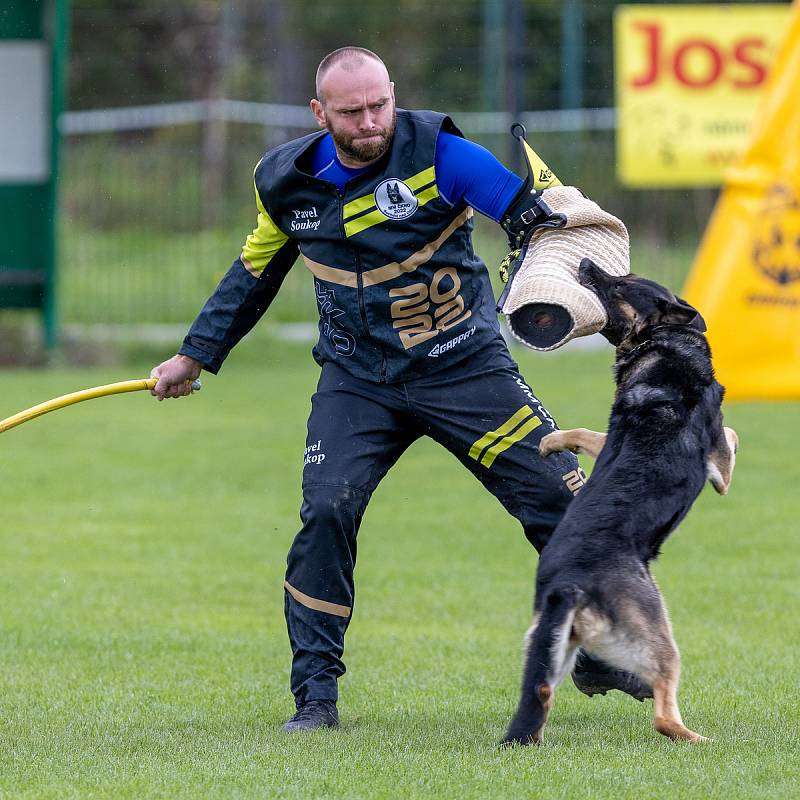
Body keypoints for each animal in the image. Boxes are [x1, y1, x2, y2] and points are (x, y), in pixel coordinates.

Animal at [504, 260, 740, 748]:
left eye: (622, 284)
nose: (585, 264)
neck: (662, 344)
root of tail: (568, 584)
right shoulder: (719, 466)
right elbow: (729, 436)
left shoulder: (607, 437)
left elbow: (583, 433)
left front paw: (549, 443)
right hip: (659, 632)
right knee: (663, 714)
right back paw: (700, 739)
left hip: (551, 648)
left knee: (540, 694)